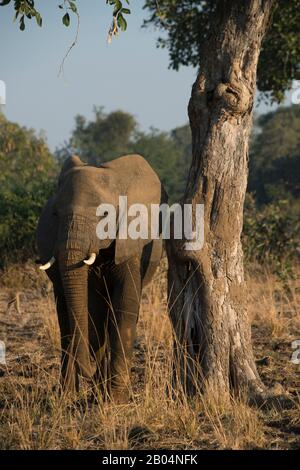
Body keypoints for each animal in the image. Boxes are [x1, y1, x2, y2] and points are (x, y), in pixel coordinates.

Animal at [36, 155, 168, 404]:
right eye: (55, 214)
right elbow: (93, 310)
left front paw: (115, 399)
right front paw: (103, 393)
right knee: (67, 321)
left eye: (104, 215)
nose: (91, 371)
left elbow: (124, 306)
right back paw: (67, 396)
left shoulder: (131, 240)